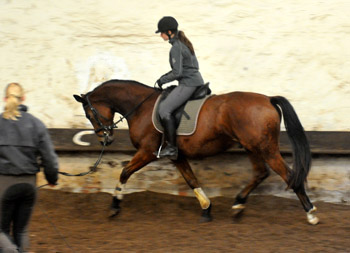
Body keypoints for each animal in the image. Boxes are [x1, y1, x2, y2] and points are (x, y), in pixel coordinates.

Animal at [74, 78, 320, 224]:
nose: (105, 138)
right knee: (261, 173)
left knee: (289, 175)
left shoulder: (147, 152)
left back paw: (310, 213)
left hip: (265, 149)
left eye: (89, 113)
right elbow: (191, 180)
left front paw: (115, 205)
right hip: (252, 147)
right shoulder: (177, 156)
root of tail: (268, 99)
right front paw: (206, 208)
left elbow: (125, 172)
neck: (141, 107)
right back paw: (238, 204)